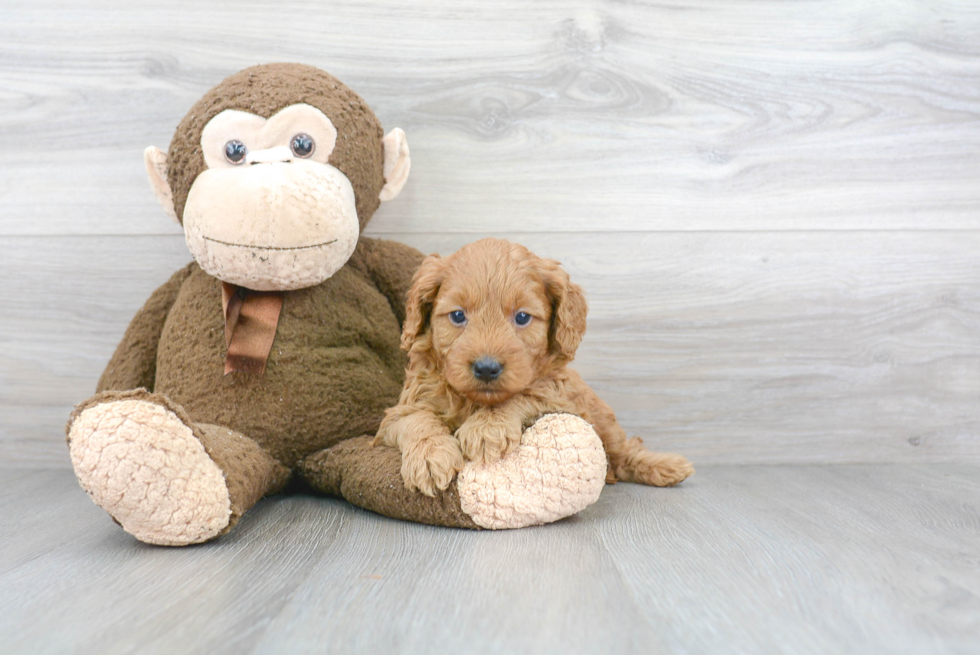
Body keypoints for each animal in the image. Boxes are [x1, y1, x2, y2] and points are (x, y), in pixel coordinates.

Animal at [372, 238, 692, 494]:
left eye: (523, 317)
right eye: (458, 315)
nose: (486, 368)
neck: (474, 401)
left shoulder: (561, 398)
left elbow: (525, 394)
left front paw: (488, 428)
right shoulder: (397, 415)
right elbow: (417, 419)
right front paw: (429, 457)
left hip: (605, 422)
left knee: (626, 452)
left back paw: (668, 466)